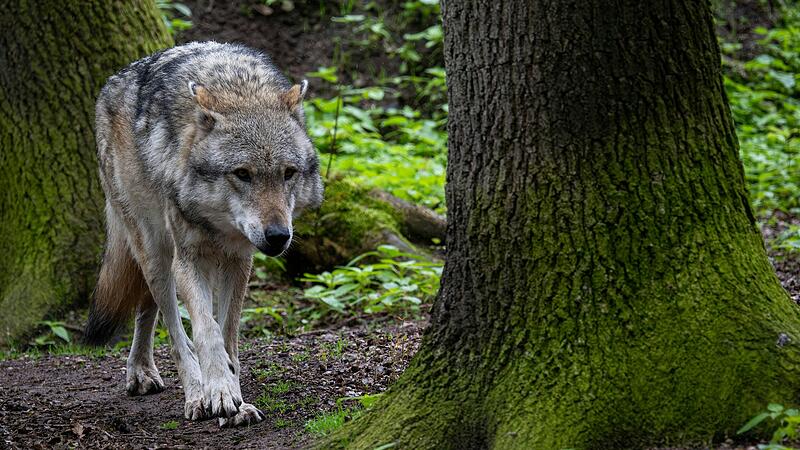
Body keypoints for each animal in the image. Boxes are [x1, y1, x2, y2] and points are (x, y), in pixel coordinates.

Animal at [84, 41, 323, 426]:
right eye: (242, 174)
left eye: (288, 173)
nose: (277, 236)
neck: (238, 88)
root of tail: (112, 82)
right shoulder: (189, 261)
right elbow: (206, 333)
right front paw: (219, 393)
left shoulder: (239, 261)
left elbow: (228, 335)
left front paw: (236, 398)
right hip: (156, 253)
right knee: (174, 329)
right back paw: (193, 395)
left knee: (147, 308)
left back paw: (143, 370)